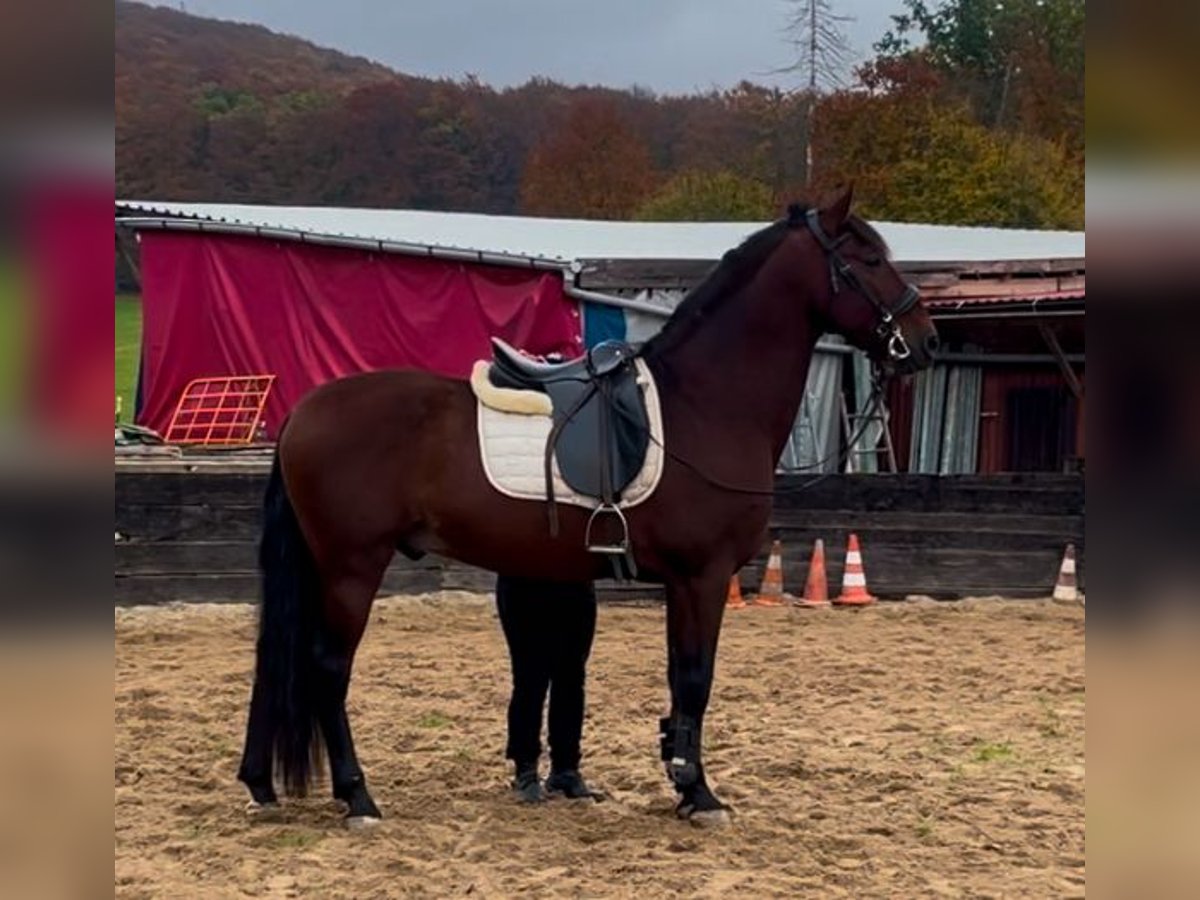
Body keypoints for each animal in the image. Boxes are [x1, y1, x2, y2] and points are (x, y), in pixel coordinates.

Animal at [238, 187, 940, 830]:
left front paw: (681, 779)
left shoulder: (683, 583)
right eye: (868, 258)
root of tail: (304, 410)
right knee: (328, 670)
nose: (925, 340)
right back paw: (357, 798)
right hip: (352, 566)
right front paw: (700, 792)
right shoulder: (703, 576)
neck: (703, 404)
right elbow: (696, 679)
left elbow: (680, 680)